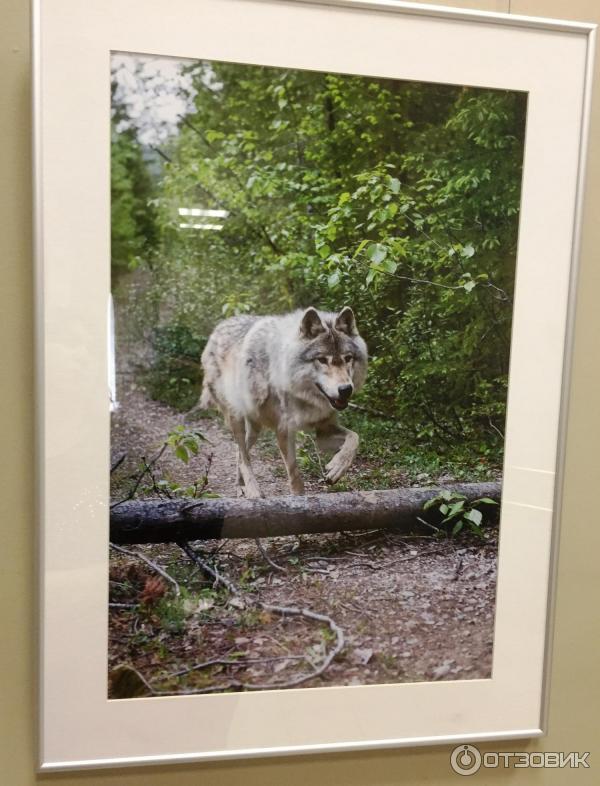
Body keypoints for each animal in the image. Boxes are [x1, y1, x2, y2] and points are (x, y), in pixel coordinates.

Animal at [200, 306, 366, 496]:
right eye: (322, 360)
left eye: (348, 358)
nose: (345, 389)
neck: (303, 395)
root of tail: (218, 328)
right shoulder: (284, 431)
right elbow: (294, 474)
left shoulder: (323, 431)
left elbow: (355, 437)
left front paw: (337, 468)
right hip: (236, 418)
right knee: (243, 456)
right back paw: (253, 491)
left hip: (255, 429)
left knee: (240, 453)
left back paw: (240, 487)